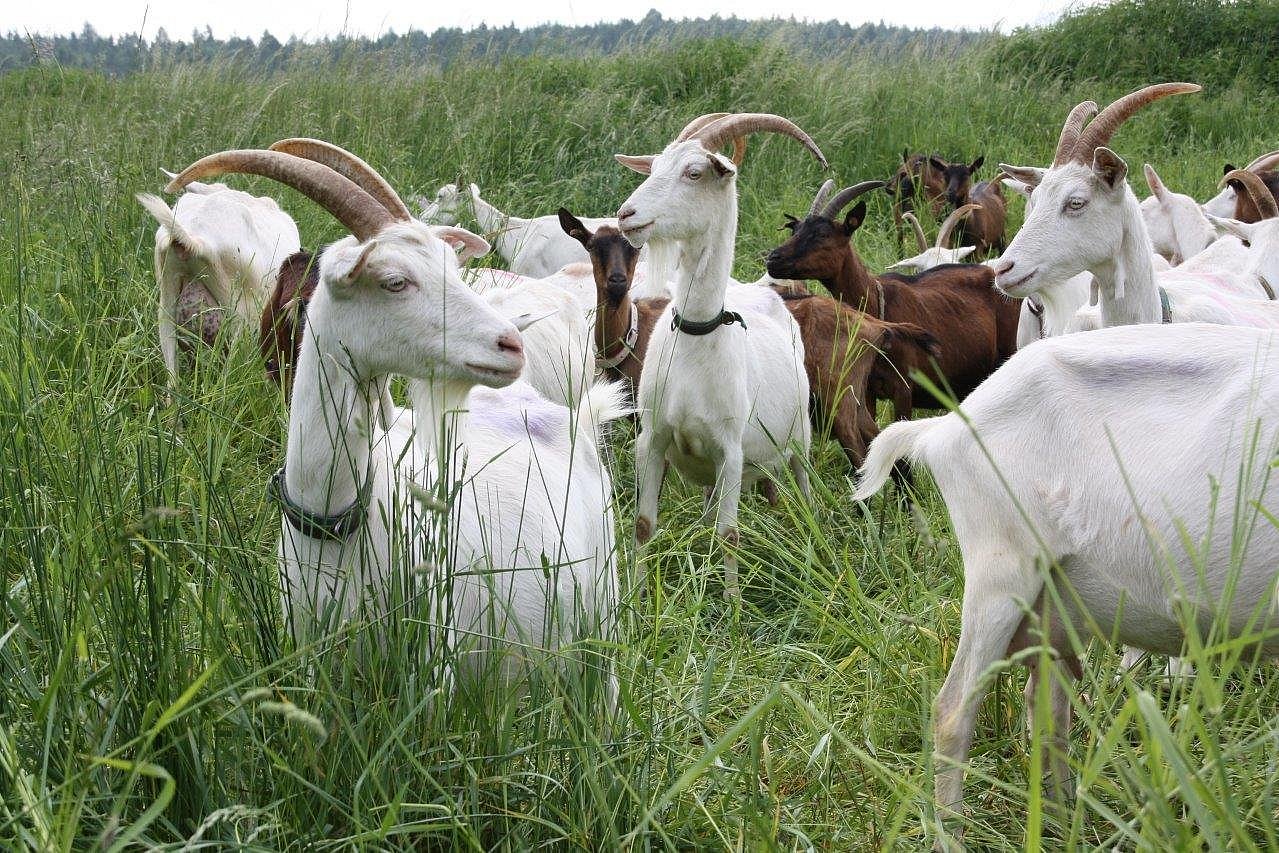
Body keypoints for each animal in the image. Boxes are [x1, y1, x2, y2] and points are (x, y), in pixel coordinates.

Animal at [164, 141, 624, 685]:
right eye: (394, 281)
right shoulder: (310, 657)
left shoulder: (431, 658)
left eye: (452, 268)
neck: (335, 523)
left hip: (602, 615)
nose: (510, 345)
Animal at [616, 109, 818, 598]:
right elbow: (643, 525)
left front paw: (731, 607)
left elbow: (730, 534)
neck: (697, 332)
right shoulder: (653, 438)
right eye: (653, 167)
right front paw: (635, 598)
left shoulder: (730, 449)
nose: (626, 214)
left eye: (694, 173)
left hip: (798, 439)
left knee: (802, 490)